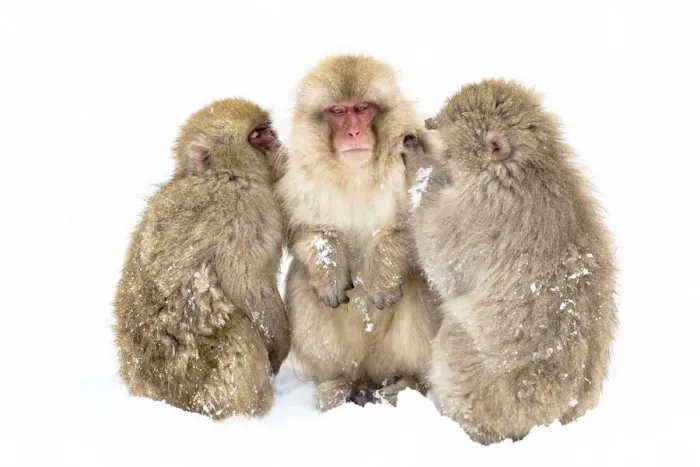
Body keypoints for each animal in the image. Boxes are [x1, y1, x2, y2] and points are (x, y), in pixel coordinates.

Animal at [113, 98, 290, 419]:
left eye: (267, 130)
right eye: (257, 136)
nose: (276, 141)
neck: (219, 174)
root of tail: (167, 399)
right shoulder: (244, 207)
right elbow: (247, 285)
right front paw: (279, 348)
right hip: (208, 385)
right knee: (241, 330)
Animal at [276, 55, 442, 410]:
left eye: (363, 108)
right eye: (339, 111)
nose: (353, 132)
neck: (357, 175)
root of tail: (371, 374)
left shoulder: (422, 153)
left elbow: (430, 228)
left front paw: (380, 269)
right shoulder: (300, 176)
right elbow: (304, 231)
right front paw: (329, 264)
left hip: (388, 358)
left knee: (418, 282)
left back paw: (409, 383)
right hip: (353, 358)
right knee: (302, 282)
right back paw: (339, 386)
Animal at [400, 79, 617, 444]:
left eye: (442, 125)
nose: (427, 122)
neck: (518, 169)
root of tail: (559, 417)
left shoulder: (477, 215)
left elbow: (442, 262)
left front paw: (419, 163)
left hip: (490, 394)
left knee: (455, 341)